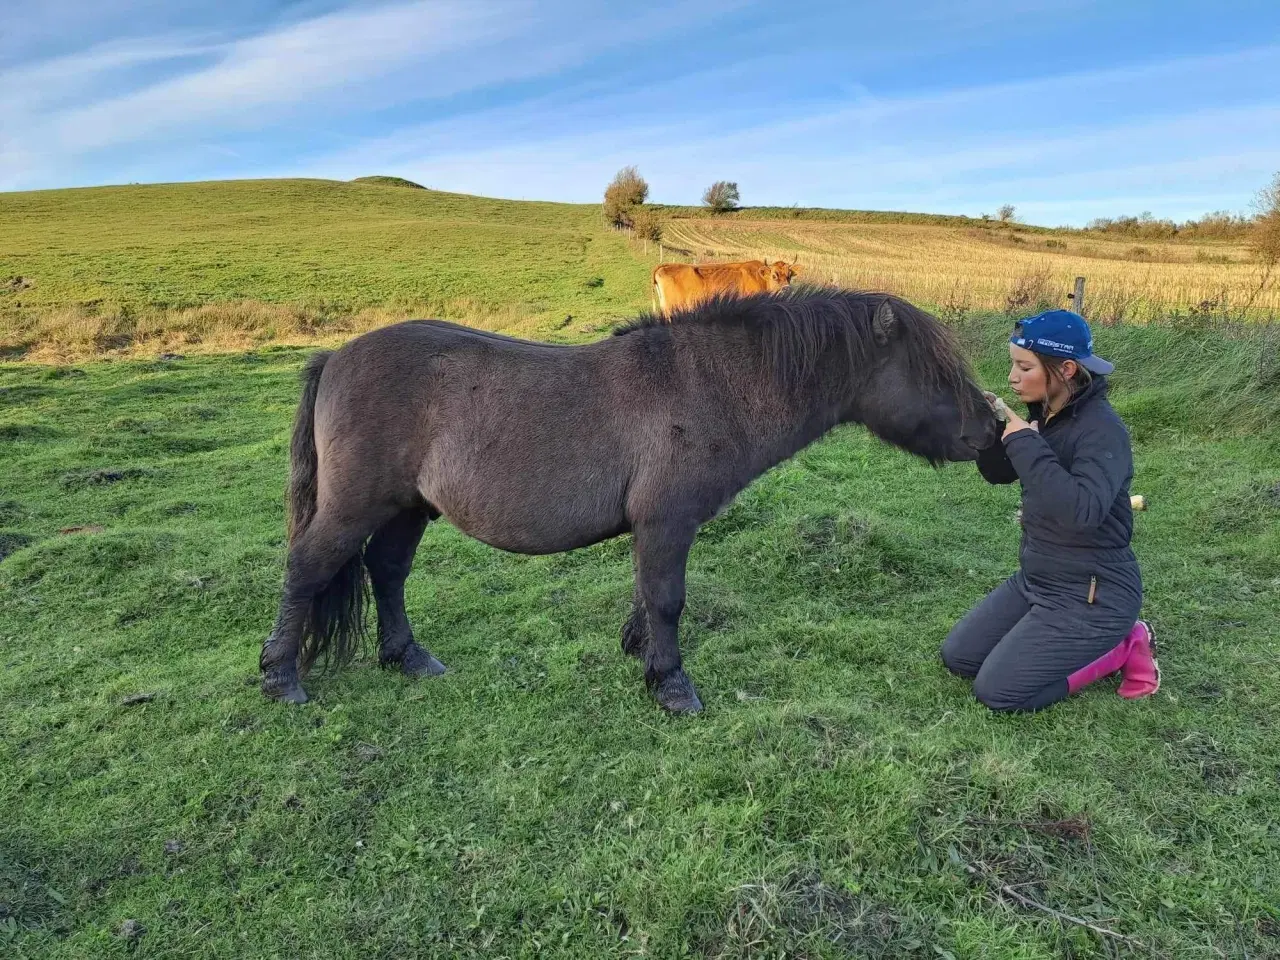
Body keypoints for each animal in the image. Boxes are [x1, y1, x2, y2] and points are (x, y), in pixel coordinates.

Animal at [257, 289, 998, 716]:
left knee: (386, 574)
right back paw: (281, 678)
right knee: (308, 570)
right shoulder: (667, 521)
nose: (992, 432)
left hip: (408, 508)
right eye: (934, 371)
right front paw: (670, 684)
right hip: (356, 505)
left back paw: (408, 658)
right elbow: (668, 599)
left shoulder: (652, 527)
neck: (705, 384)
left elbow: (646, 595)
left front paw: (639, 652)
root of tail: (334, 358)